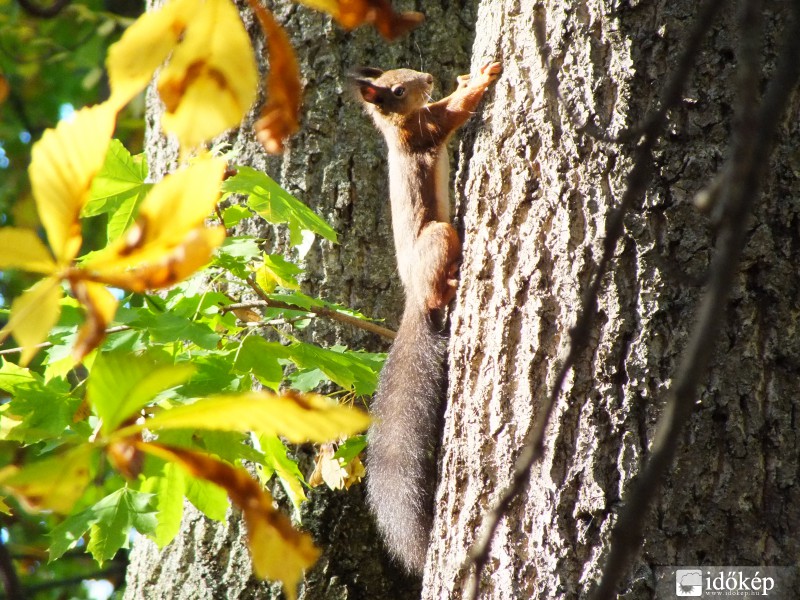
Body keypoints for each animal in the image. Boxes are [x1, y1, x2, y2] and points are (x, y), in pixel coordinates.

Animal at [348, 62, 500, 576]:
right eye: (397, 90)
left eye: (405, 73)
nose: (429, 77)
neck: (396, 128)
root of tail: (413, 299)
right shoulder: (427, 130)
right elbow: (453, 113)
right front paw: (481, 77)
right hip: (438, 234)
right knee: (437, 288)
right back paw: (450, 285)